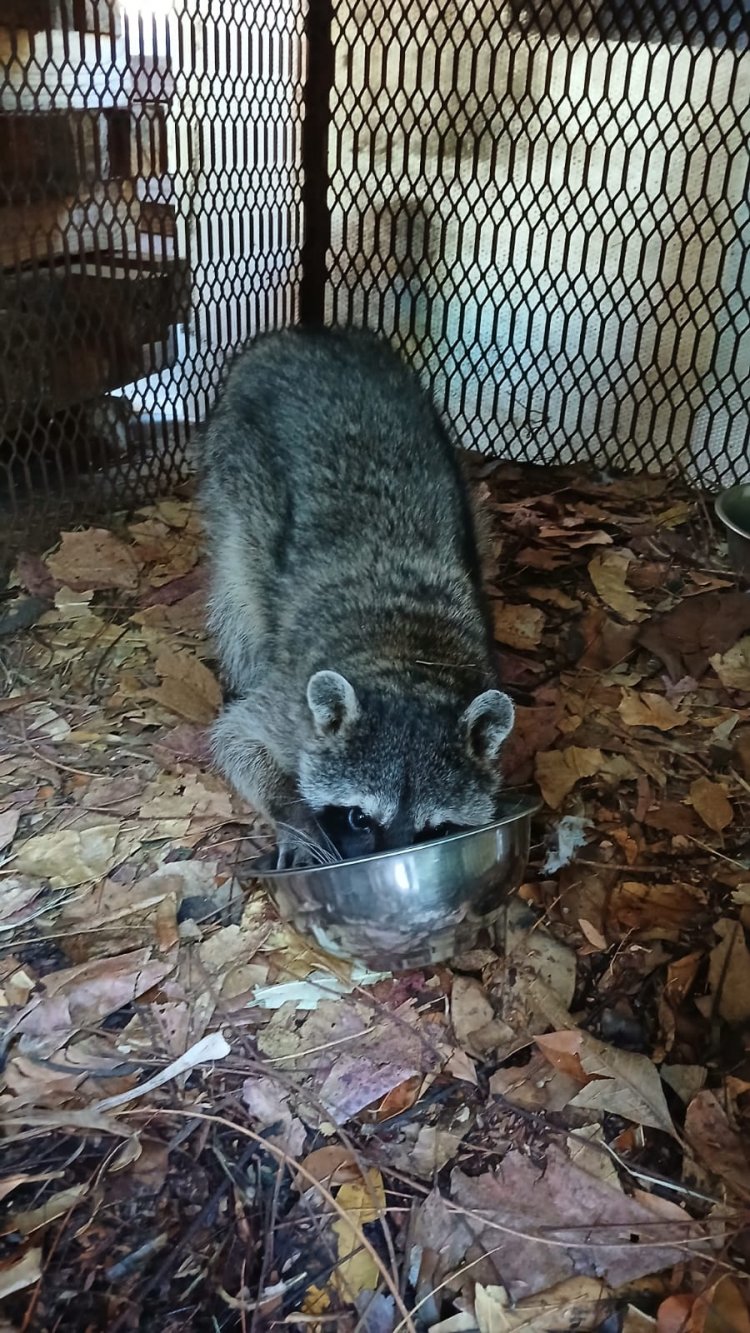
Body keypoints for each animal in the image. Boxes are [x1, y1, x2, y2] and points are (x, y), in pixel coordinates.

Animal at [199, 322, 516, 863]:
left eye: (437, 829)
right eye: (358, 817)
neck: (406, 658)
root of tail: (309, 331)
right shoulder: (289, 708)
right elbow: (236, 738)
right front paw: (297, 817)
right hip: (232, 468)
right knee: (238, 596)